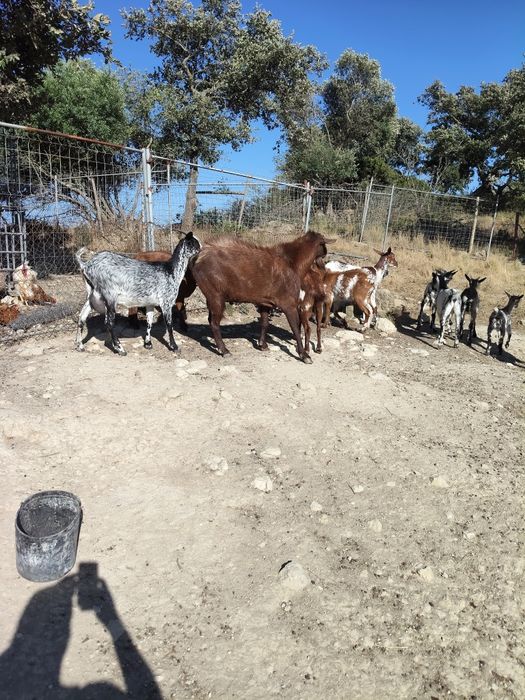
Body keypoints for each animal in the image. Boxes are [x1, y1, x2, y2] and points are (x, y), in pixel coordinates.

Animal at [191, 231, 331, 363]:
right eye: (323, 247)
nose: (323, 265)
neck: (292, 262)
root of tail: (198, 256)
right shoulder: (289, 304)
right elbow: (295, 328)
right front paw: (304, 355)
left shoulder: (264, 302)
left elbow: (264, 323)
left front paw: (262, 345)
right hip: (216, 295)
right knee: (214, 323)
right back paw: (224, 350)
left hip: (211, 297)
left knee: (211, 320)